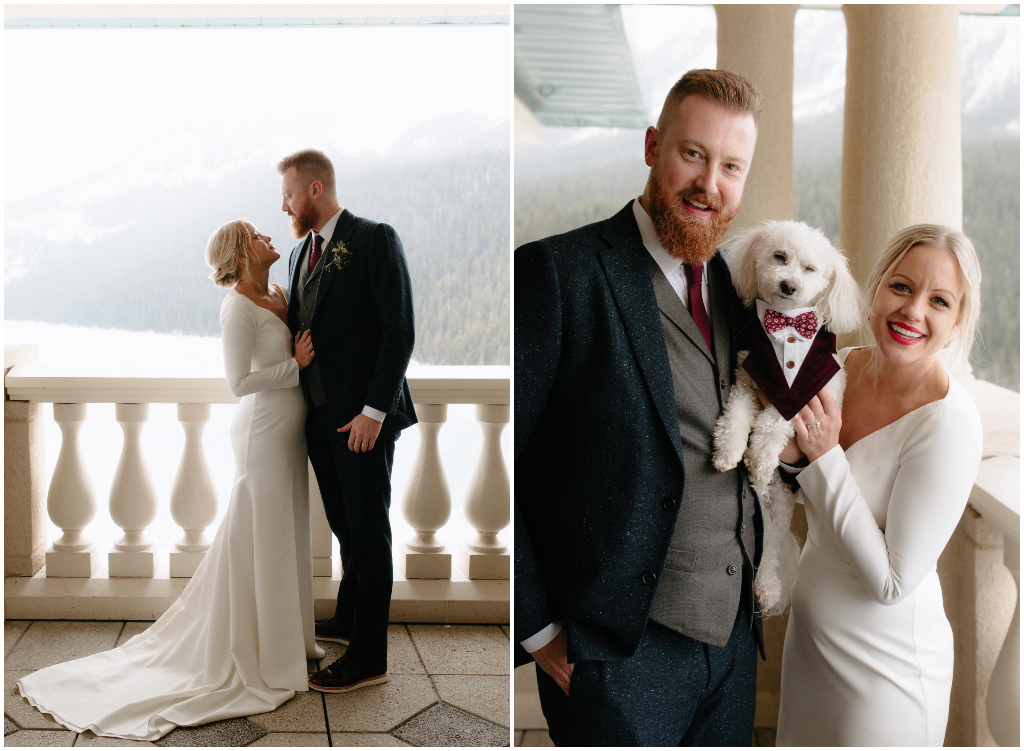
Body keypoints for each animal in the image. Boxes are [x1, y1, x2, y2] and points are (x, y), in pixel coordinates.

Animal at [712, 218, 864, 614]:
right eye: (780, 256)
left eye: (810, 268)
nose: (788, 286)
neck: (789, 328)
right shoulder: (748, 379)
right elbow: (737, 414)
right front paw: (729, 450)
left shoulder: (804, 395)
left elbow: (774, 421)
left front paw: (760, 456)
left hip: (778, 510)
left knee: (770, 553)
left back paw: (767, 589)